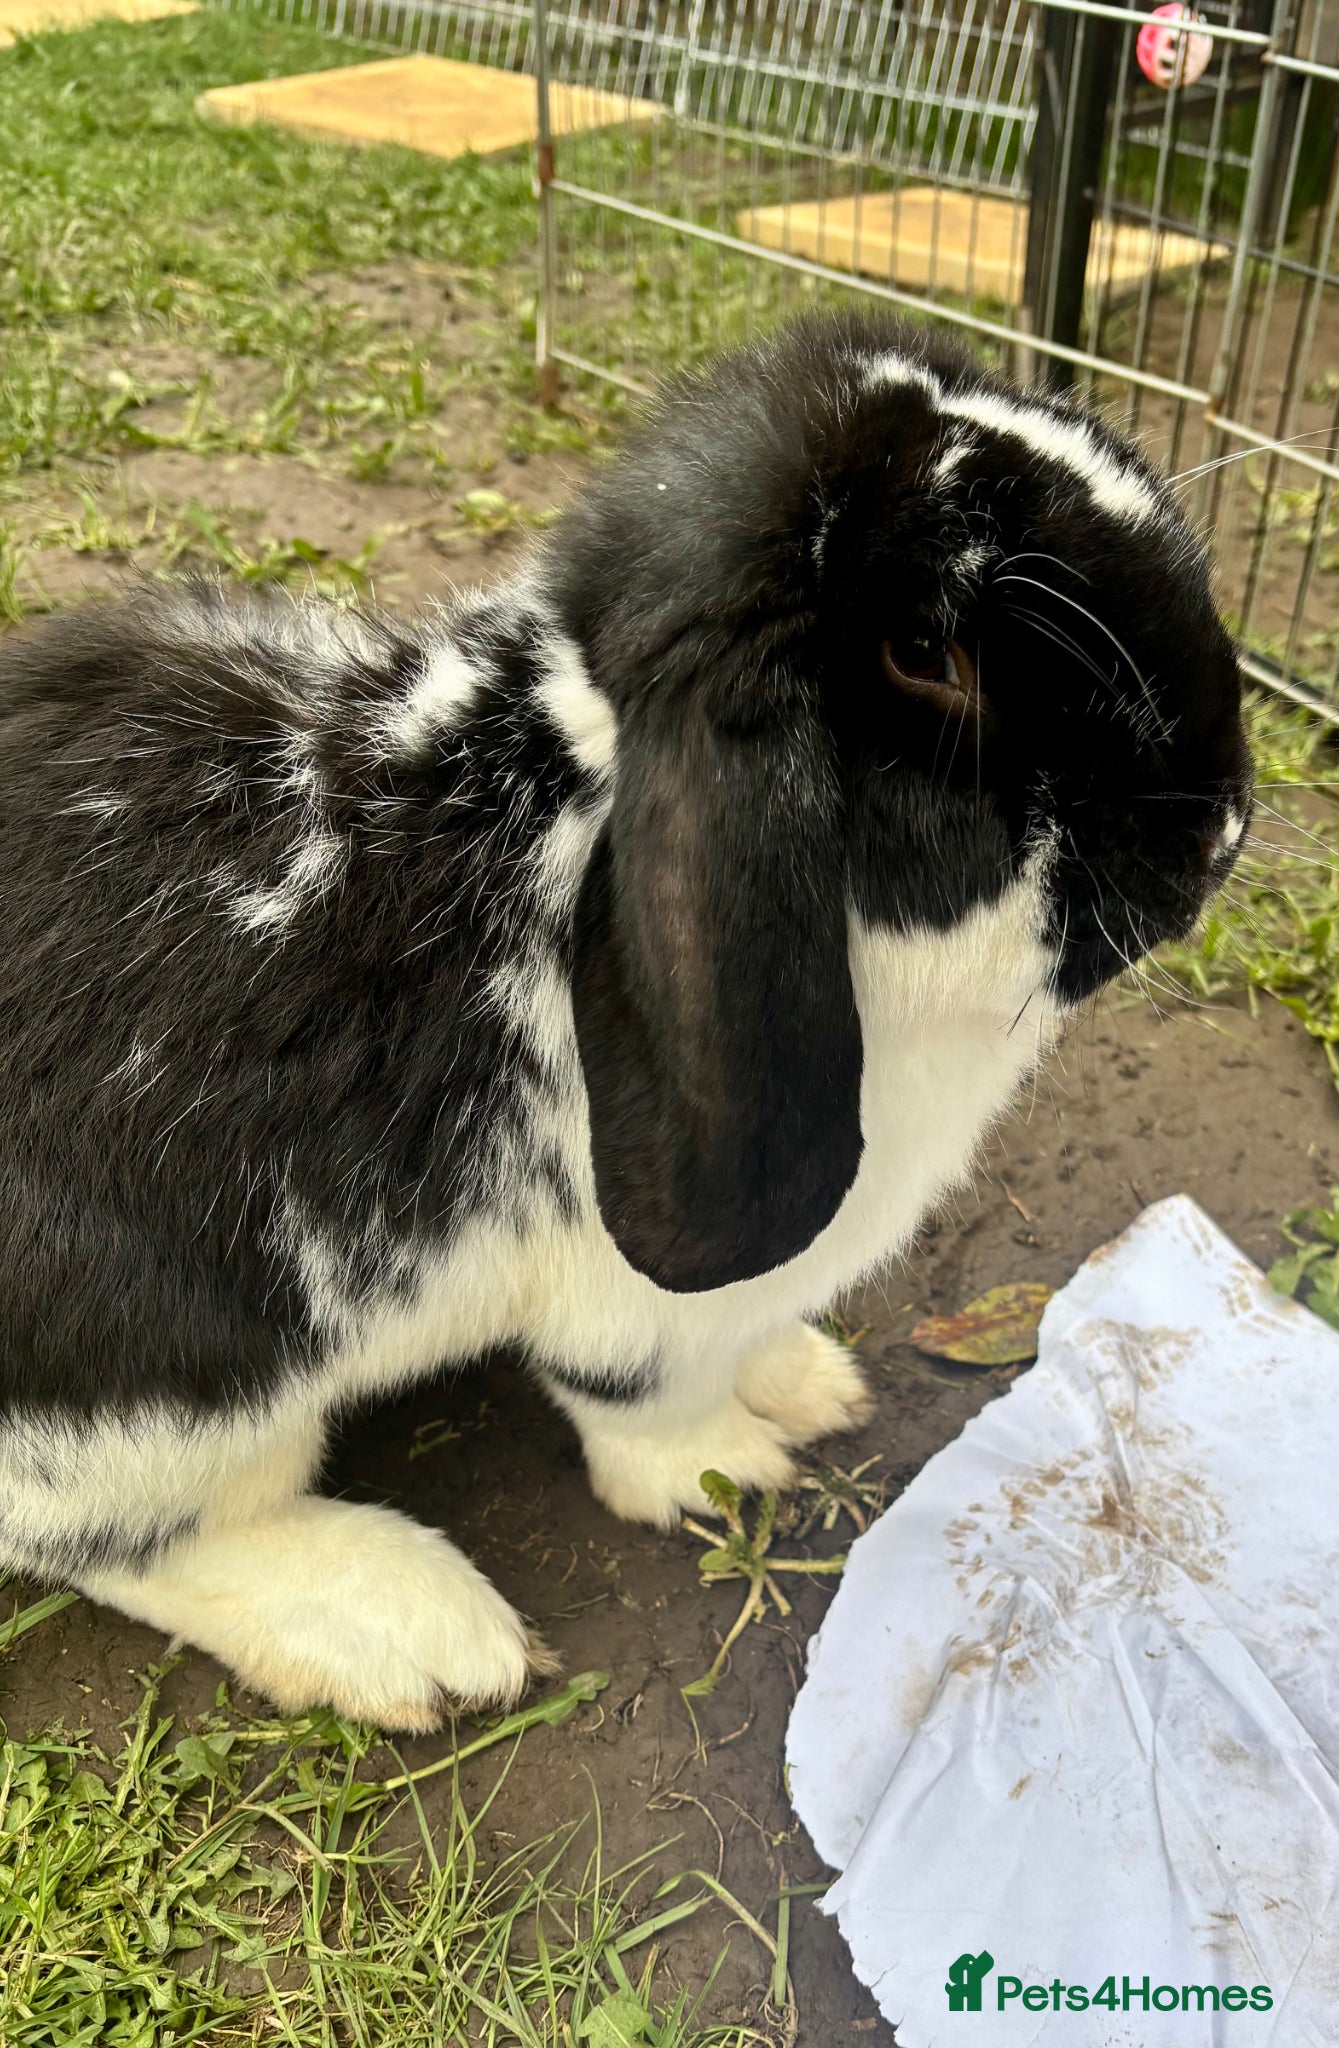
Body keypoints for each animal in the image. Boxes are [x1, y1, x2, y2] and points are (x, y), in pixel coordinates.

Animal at [0, 312, 1252, 1730]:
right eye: (928, 656)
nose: (1220, 824)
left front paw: (806, 1381)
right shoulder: (632, 1307)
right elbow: (649, 1410)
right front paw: (735, 1463)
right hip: (175, 1385)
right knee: (128, 1537)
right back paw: (410, 1631)